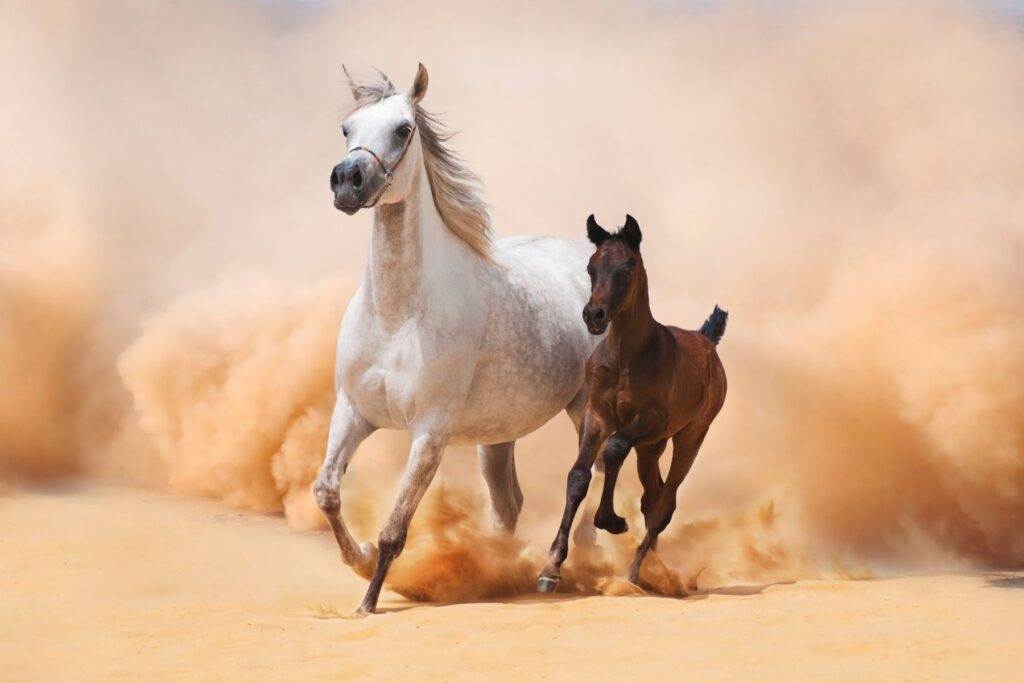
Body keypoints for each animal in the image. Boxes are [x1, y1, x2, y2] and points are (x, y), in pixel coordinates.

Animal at [315, 66, 598, 618]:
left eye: (403, 128)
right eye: (346, 127)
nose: (347, 181)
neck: (397, 316)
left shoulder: (430, 432)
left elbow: (395, 529)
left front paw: (368, 602)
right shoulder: (352, 412)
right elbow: (327, 493)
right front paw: (358, 559)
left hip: (586, 410)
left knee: (591, 478)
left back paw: (561, 569)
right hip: (498, 434)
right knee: (508, 504)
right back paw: (497, 574)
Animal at [536, 215, 729, 593]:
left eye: (627, 267)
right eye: (591, 267)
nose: (593, 315)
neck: (625, 356)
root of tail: (706, 340)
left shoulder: (648, 421)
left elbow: (613, 449)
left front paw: (611, 521)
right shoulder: (596, 415)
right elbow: (578, 476)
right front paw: (550, 568)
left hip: (689, 436)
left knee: (665, 504)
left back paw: (632, 573)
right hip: (651, 448)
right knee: (651, 497)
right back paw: (653, 568)